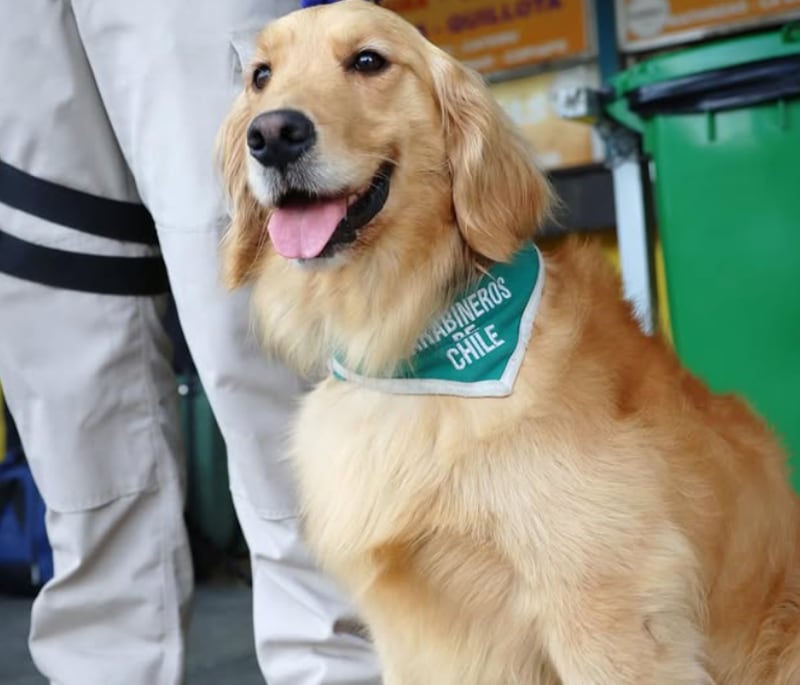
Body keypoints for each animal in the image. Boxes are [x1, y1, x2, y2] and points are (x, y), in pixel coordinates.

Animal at [217, 2, 800, 680]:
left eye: (368, 60)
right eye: (260, 76)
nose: (272, 134)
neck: (410, 348)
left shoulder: (609, 604)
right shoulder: (406, 632)